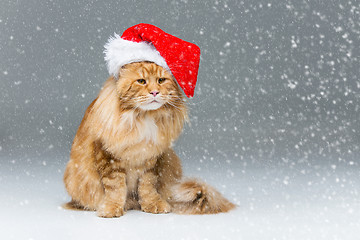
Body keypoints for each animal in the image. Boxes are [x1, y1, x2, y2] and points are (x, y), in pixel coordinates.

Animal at [63, 61, 235, 217]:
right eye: (141, 81)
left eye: (161, 80)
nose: (154, 92)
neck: (142, 118)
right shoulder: (108, 157)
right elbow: (115, 188)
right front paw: (112, 209)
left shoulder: (151, 160)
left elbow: (147, 186)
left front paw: (153, 205)